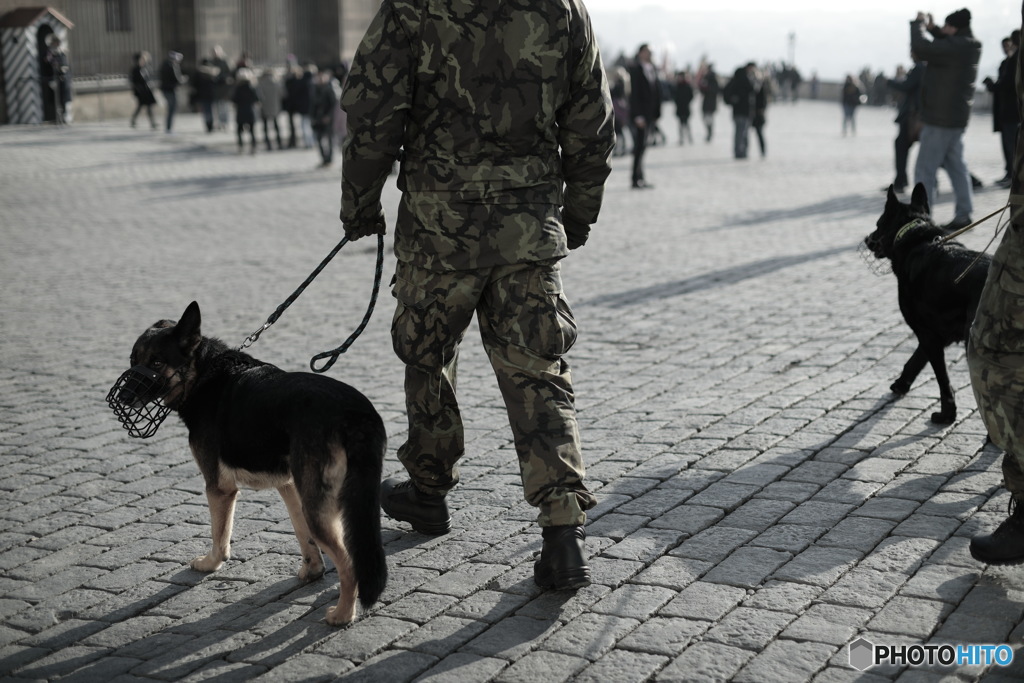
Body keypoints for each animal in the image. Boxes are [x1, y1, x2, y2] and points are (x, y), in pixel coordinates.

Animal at [110, 303, 385, 626]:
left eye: (156, 362)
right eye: (132, 360)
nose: (123, 397)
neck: (203, 373)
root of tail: (356, 414)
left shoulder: (219, 488)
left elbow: (219, 535)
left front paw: (210, 564)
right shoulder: (289, 486)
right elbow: (302, 536)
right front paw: (312, 572)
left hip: (319, 508)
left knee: (350, 562)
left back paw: (342, 614)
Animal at [864, 184, 991, 423]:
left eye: (878, 224)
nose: (867, 239)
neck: (914, 236)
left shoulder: (928, 335)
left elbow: (942, 379)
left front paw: (947, 413)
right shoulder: (934, 334)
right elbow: (915, 359)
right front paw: (902, 384)